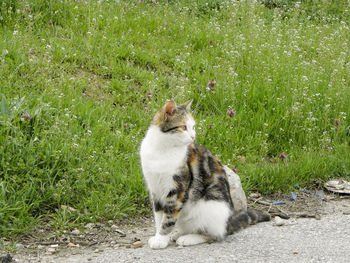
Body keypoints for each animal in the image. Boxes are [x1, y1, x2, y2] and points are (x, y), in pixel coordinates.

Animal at [139, 100, 270, 250]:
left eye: (193, 127)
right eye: (183, 127)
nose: (193, 136)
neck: (162, 149)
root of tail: (227, 224)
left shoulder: (178, 189)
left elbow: (169, 218)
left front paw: (161, 238)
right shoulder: (155, 188)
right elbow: (159, 217)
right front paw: (159, 236)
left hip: (210, 206)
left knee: (213, 235)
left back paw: (189, 238)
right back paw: (177, 234)